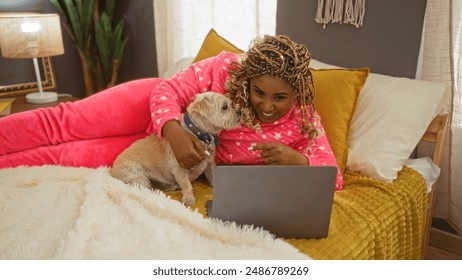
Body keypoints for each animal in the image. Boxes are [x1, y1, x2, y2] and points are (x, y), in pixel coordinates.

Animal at [110, 92, 242, 206]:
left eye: (231, 103)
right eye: (224, 107)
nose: (240, 111)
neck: (200, 134)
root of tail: (111, 171)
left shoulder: (209, 165)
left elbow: (213, 177)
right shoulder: (179, 170)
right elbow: (187, 185)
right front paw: (189, 199)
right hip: (137, 176)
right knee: (146, 190)